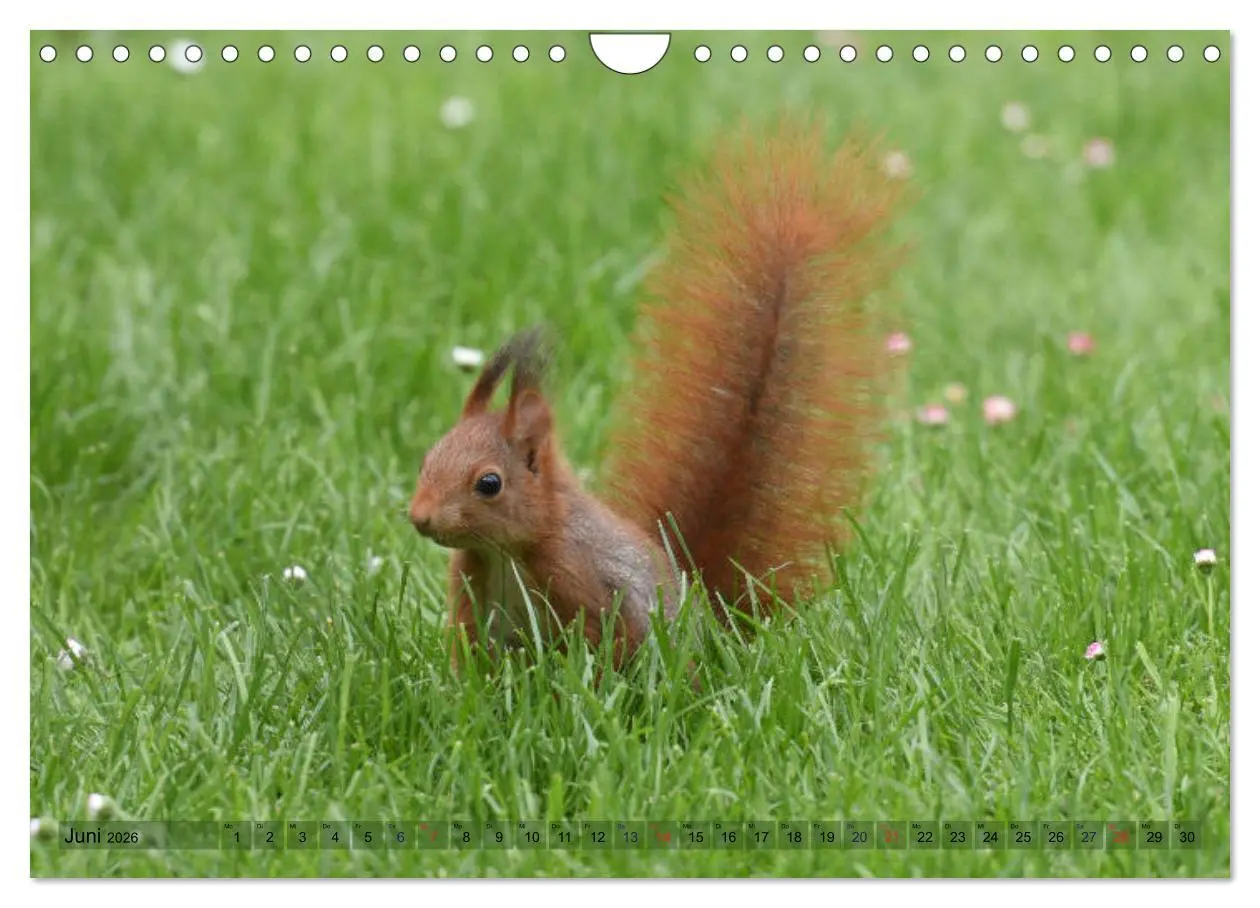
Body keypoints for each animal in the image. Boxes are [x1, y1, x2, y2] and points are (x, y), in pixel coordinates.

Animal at [408, 118, 908, 672]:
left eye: (489, 484)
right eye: (427, 459)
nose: (420, 518)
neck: (508, 551)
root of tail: (713, 620)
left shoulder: (583, 581)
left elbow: (604, 643)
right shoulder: (474, 594)